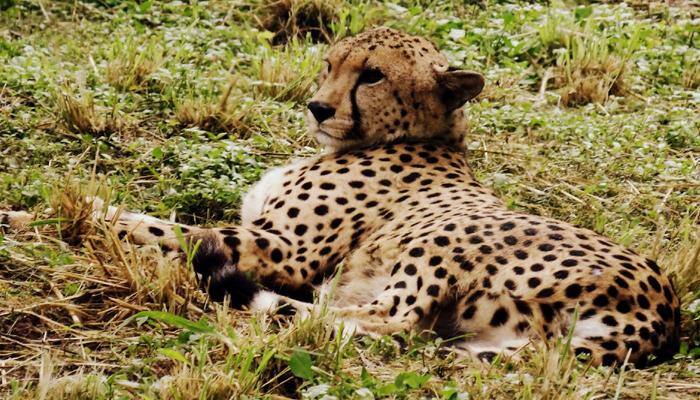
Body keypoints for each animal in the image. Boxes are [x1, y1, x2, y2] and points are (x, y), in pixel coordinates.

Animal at [0, 26, 680, 368]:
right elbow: (172, 219)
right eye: (329, 63)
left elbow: (161, 226)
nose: (317, 107)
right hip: (490, 337)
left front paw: (38, 215)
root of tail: (663, 311)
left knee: (382, 323)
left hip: (439, 245)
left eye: (373, 75)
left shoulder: (284, 251)